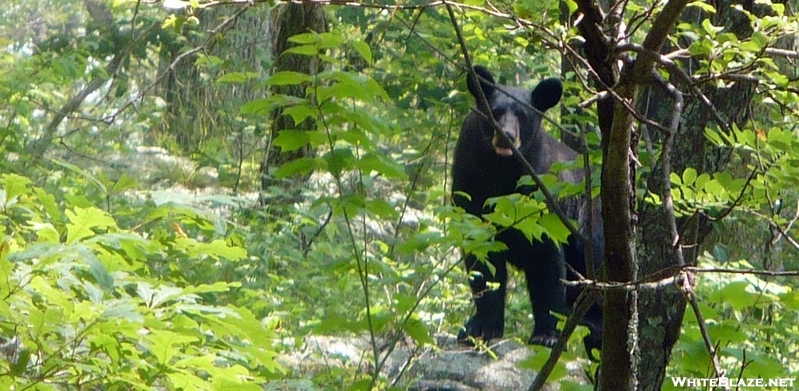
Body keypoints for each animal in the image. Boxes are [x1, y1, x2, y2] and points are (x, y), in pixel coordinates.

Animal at [454, 66, 604, 356]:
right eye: (494, 111)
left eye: (524, 116)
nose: (506, 136)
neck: (501, 172)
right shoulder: (469, 184)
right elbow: (483, 262)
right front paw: (480, 327)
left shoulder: (541, 200)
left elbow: (546, 264)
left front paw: (546, 335)